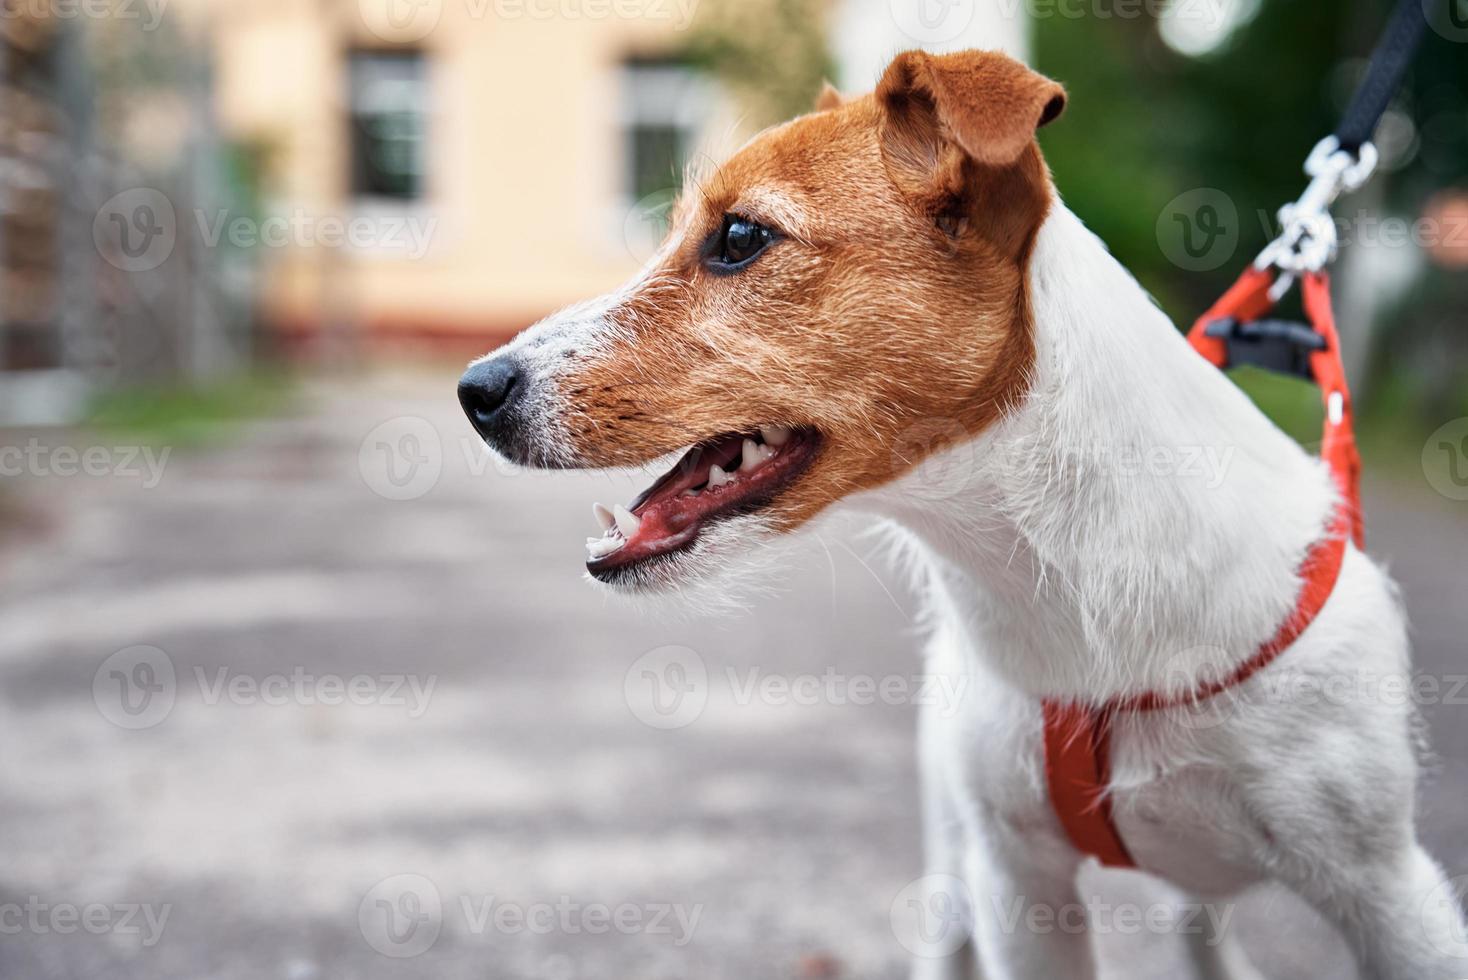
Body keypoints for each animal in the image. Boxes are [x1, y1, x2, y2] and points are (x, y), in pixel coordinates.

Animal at [460, 47, 1468, 979]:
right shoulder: (1017, 885)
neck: (1068, 586)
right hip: (956, 866)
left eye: (740, 236)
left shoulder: (1388, 892)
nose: (476, 390)